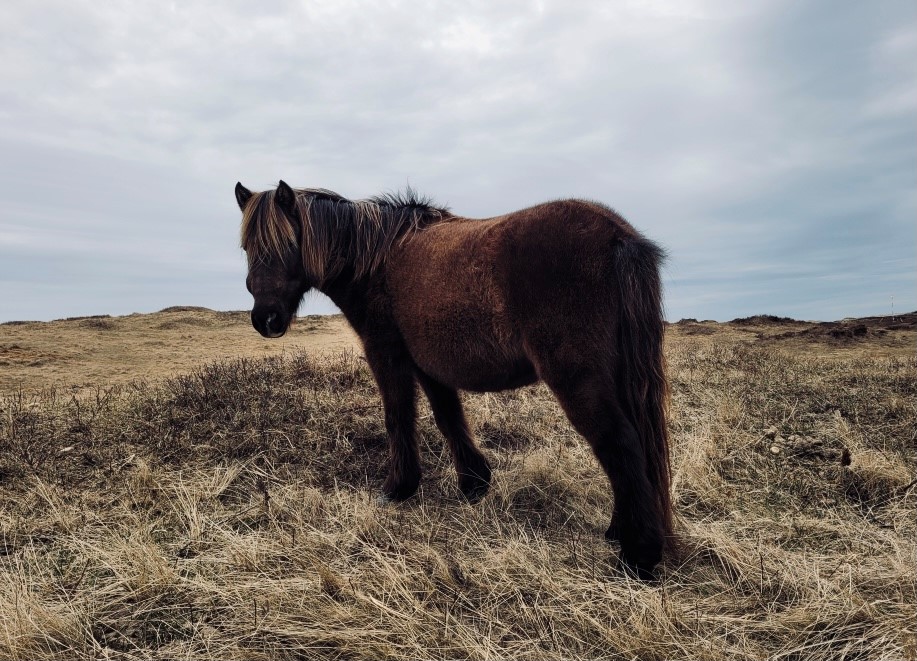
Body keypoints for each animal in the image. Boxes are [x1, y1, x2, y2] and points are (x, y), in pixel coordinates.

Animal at [234, 180, 673, 578]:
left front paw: (399, 488)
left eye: (287, 243)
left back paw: (640, 555)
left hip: (577, 378)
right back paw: (619, 530)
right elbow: (449, 417)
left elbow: (398, 416)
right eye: (247, 249)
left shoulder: (386, 353)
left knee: (619, 443)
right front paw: (474, 483)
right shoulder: (427, 364)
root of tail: (618, 235)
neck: (376, 258)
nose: (266, 320)